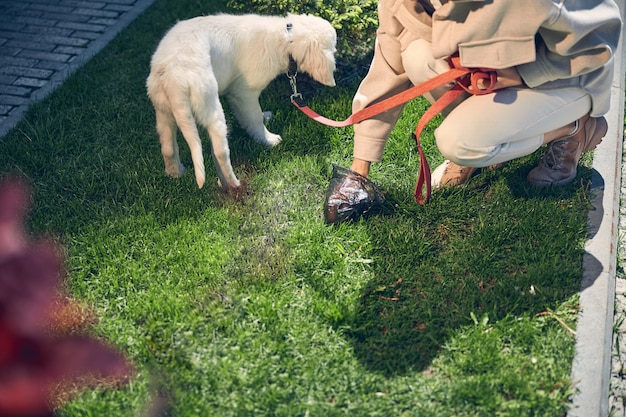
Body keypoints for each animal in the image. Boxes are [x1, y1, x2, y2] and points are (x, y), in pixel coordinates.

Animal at [145, 12, 336, 192]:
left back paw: (176, 172)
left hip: (163, 109)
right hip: (210, 106)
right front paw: (268, 139)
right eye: (334, 47)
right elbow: (254, 118)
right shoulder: (244, 93)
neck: (286, 36)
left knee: (168, 146)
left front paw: (265, 117)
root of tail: (174, 76)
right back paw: (232, 183)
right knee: (219, 152)